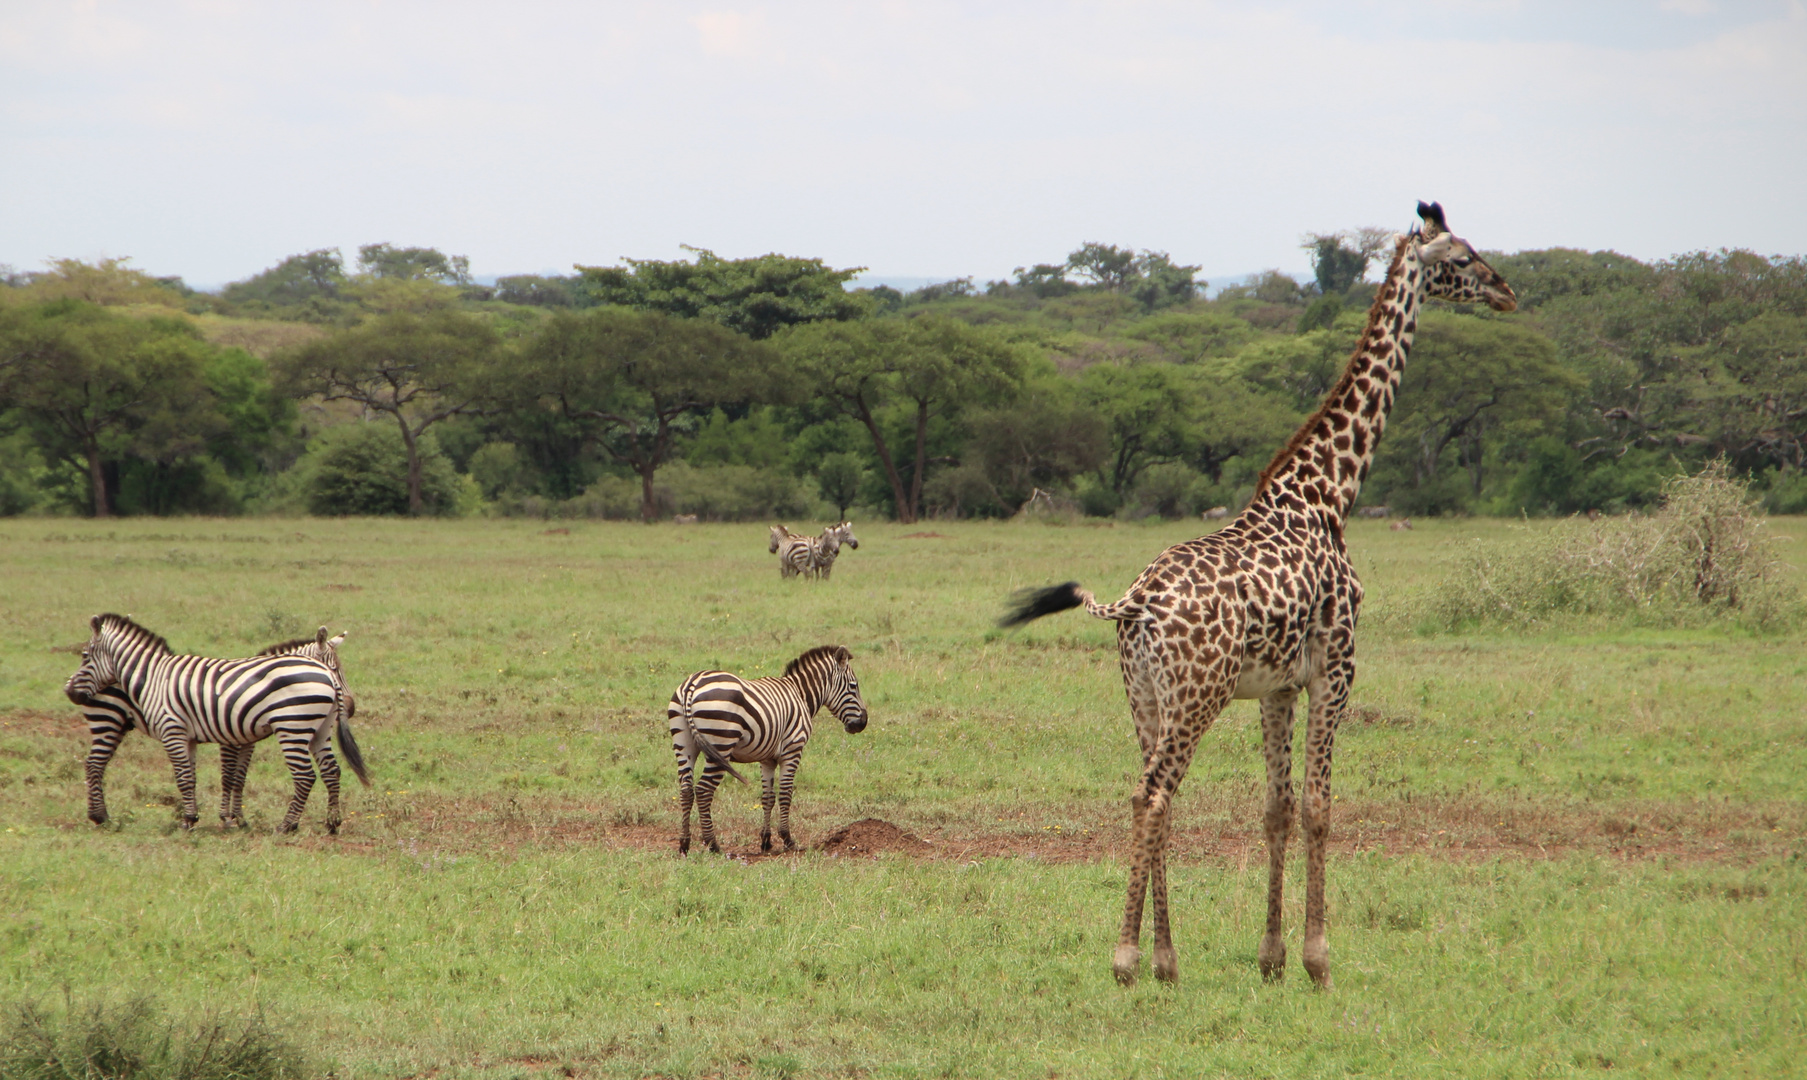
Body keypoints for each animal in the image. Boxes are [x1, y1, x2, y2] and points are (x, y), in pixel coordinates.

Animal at [63, 617, 366, 837]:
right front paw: (228, 819)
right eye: (337, 668)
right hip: (109, 721)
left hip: (294, 728)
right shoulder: (228, 738)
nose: (69, 691)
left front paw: (201, 820)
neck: (150, 676)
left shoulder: (183, 732)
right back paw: (330, 823)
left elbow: (209, 777)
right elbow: (220, 778)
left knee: (308, 775)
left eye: (84, 655)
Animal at [668, 646, 870, 859]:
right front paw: (787, 839)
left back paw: (684, 844)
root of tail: (692, 683)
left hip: (684, 744)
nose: (863, 723)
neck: (800, 695)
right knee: (703, 790)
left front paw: (766, 841)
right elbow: (785, 794)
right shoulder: (792, 751)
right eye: (853, 686)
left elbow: (768, 797)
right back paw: (713, 844)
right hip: (721, 746)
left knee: (686, 790)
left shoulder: (767, 759)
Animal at [1004, 201, 1510, 989]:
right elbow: (1319, 807)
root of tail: (1134, 604)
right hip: (1197, 695)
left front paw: (1271, 959)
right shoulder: (1336, 667)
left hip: (1143, 696)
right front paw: (1317, 960)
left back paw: (1165, 959)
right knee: (1153, 794)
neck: (1329, 494)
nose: (1506, 290)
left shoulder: (1277, 686)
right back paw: (1128, 960)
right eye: (1460, 258)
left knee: (1150, 793)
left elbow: (1276, 808)